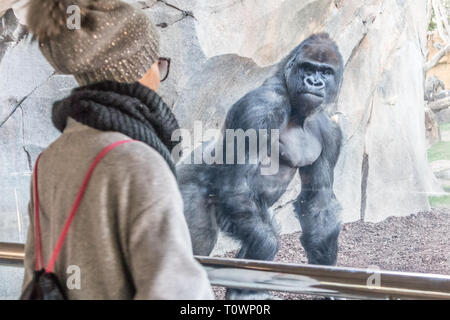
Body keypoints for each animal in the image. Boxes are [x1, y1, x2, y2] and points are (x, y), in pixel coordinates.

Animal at [177, 32, 344, 298]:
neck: (298, 113)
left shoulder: (330, 132)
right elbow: (237, 187)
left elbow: (319, 202)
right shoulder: (260, 109)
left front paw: (328, 278)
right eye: (308, 67)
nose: (314, 82)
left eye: (325, 72)